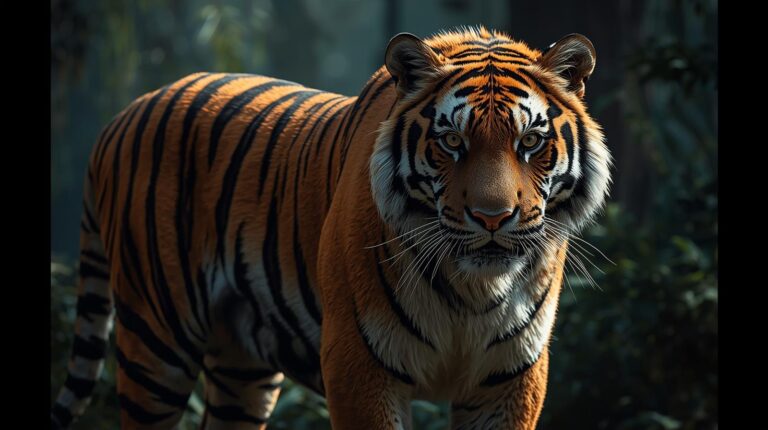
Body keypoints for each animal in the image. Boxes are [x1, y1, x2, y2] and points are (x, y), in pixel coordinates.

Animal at [51, 26, 611, 429]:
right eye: (452, 142)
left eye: (530, 142)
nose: (493, 218)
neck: (473, 287)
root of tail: (121, 115)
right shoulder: (359, 368)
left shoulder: (509, 381)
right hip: (155, 342)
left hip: (240, 367)